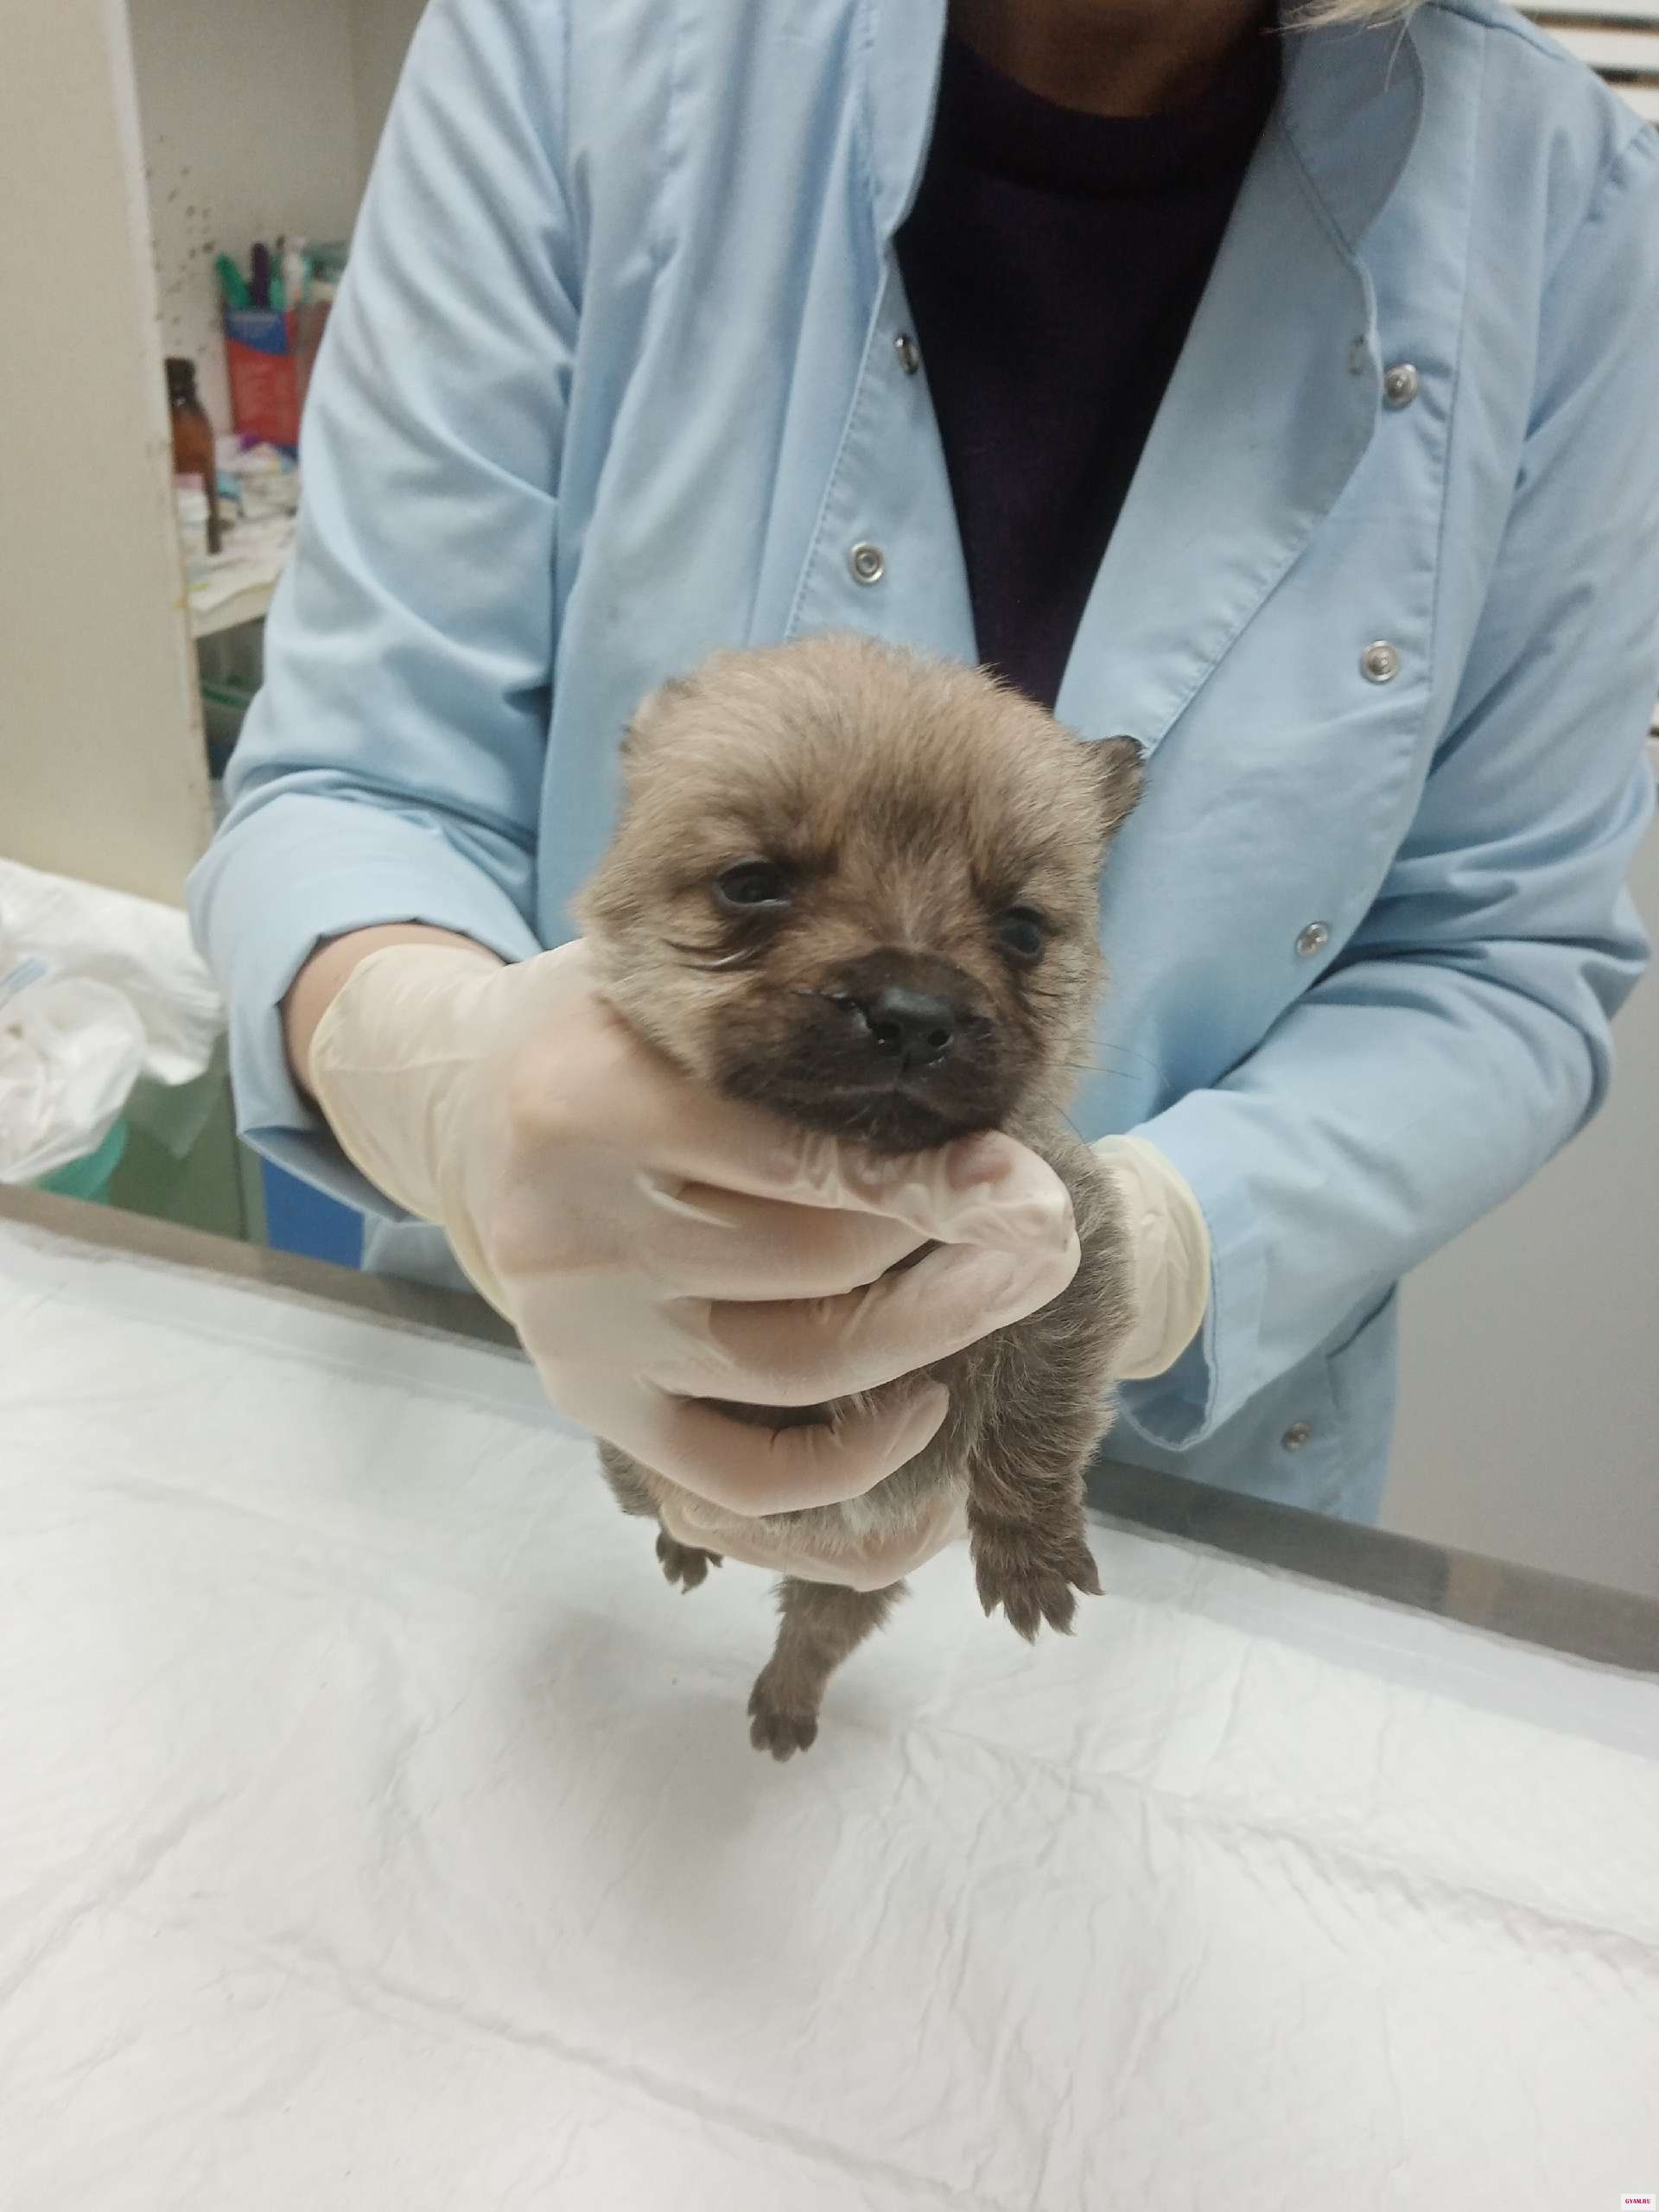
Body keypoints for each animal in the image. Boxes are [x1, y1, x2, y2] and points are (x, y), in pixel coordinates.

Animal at [574, 635, 1142, 1756]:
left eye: (1023, 929)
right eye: (751, 883)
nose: (914, 1015)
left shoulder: (1073, 1250)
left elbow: (1039, 1402)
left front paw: (1029, 1547)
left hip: (860, 1574)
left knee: (819, 1626)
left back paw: (785, 1701)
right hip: (626, 1461)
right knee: (651, 1498)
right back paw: (688, 1544)